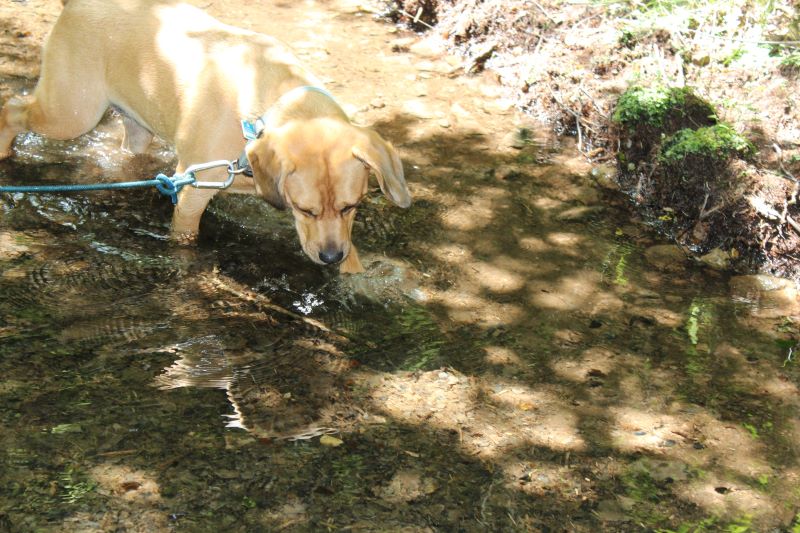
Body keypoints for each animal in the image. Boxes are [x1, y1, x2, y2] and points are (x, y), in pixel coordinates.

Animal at [0, 0, 410, 272]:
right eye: (304, 209)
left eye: (351, 206)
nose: (329, 257)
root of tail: (76, 4)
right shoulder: (191, 191)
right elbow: (186, 238)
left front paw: (353, 277)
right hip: (70, 113)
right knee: (11, 110)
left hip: (135, 126)